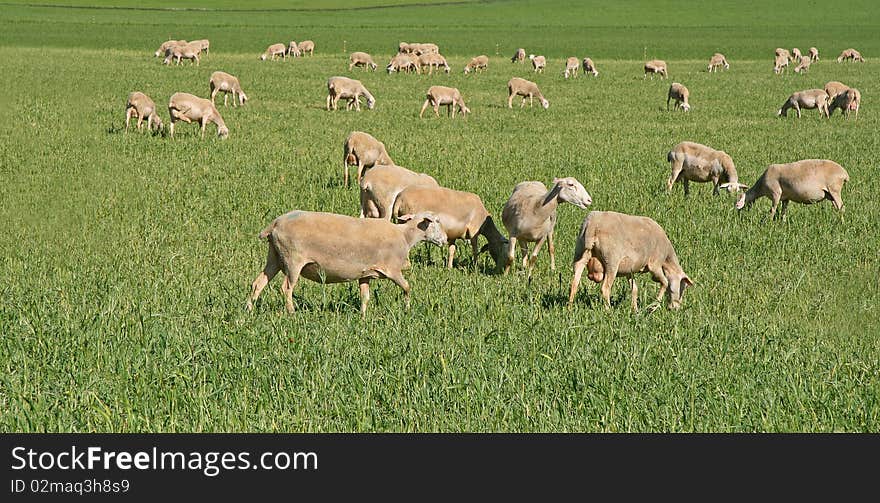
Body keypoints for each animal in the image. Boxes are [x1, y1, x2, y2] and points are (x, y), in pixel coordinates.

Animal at [248, 211, 450, 316]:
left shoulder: (366, 273)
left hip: (275, 256)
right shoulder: (392, 270)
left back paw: (248, 310)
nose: (445, 240)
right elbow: (407, 287)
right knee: (286, 288)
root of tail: (274, 224)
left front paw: (363, 317)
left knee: (258, 283)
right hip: (293, 260)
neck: (405, 236)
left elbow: (365, 296)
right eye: (436, 221)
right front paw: (407, 308)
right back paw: (292, 312)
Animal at [568, 210, 696, 312]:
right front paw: (653, 306)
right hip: (611, 261)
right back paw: (608, 311)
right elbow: (664, 282)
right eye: (682, 288)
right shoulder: (655, 264)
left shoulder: (629, 270)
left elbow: (634, 289)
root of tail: (592, 225)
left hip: (580, 254)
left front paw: (635, 310)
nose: (675, 309)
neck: (667, 259)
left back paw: (569, 309)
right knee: (605, 288)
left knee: (574, 283)